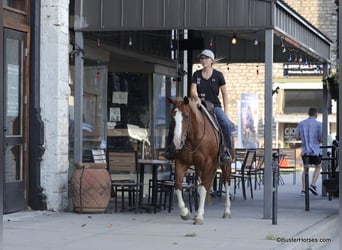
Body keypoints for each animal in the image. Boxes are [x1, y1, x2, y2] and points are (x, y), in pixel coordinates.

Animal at [166, 95, 232, 225]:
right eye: (172, 116)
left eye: (186, 116)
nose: (177, 143)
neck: (193, 139)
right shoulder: (181, 162)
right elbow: (177, 185)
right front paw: (185, 213)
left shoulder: (207, 163)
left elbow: (203, 188)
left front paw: (199, 217)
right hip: (199, 168)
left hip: (225, 164)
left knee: (226, 183)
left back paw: (227, 211)